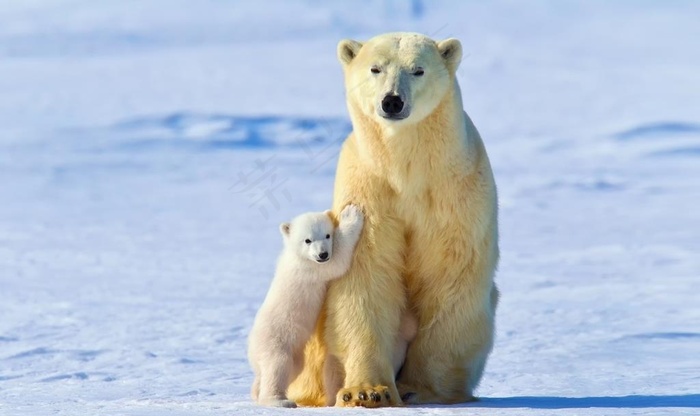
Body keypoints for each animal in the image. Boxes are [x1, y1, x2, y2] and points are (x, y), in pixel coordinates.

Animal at [286, 31, 498, 406]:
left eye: (418, 69)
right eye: (376, 68)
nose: (392, 102)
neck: (407, 169)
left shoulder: (455, 194)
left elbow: (450, 275)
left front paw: (420, 388)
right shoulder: (369, 190)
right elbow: (366, 277)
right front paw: (368, 391)